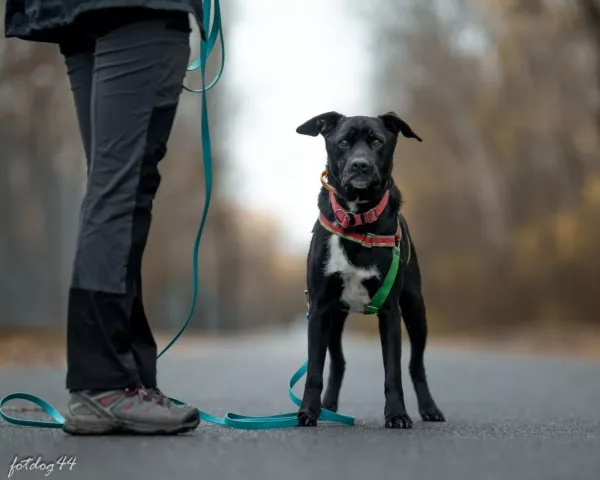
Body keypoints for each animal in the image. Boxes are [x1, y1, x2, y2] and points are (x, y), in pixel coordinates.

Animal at [296, 111, 446, 428]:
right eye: (343, 142)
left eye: (377, 141)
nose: (360, 165)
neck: (356, 218)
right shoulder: (319, 308)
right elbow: (314, 369)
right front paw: (307, 412)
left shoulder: (390, 310)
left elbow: (394, 372)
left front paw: (397, 414)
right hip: (335, 319)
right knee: (338, 362)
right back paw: (328, 406)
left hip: (416, 309)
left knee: (416, 365)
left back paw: (429, 408)